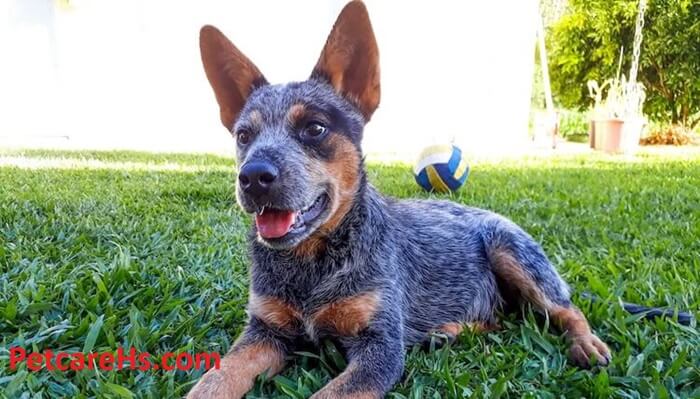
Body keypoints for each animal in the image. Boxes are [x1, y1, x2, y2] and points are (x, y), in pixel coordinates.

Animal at [189, 2, 608, 396]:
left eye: (315, 128)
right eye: (244, 136)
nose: (252, 177)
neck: (311, 265)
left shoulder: (381, 345)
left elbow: (333, 392)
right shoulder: (265, 330)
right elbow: (214, 379)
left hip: (513, 254)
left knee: (566, 309)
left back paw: (586, 343)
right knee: (501, 318)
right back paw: (451, 330)